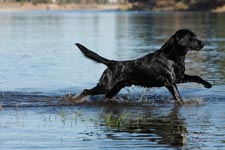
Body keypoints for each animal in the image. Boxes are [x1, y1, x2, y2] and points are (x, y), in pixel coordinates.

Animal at [74, 29, 213, 103]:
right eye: (191, 38)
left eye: (195, 36)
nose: (203, 43)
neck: (172, 57)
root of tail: (112, 62)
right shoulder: (170, 82)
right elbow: (177, 95)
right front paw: (181, 103)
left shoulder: (178, 77)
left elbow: (196, 77)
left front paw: (208, 84)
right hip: (106, 86)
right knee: (86, 91)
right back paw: (76, 99)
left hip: (115, 88)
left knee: (105, 96)